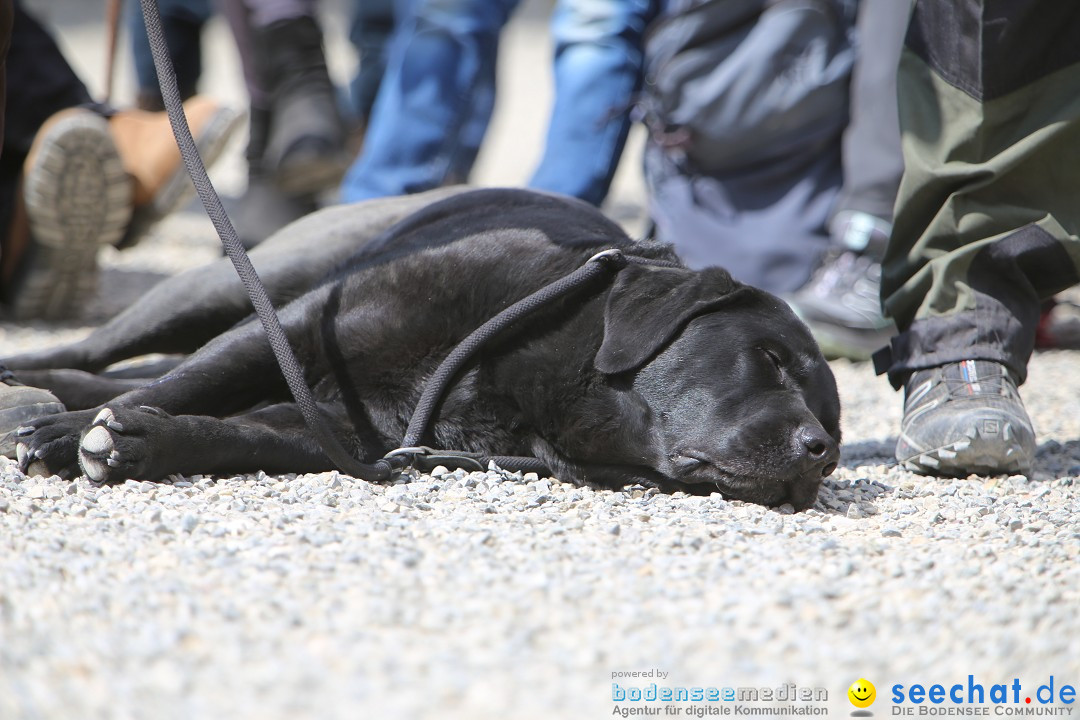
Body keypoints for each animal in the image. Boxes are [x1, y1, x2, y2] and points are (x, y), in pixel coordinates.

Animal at [4, 188, 838, 509]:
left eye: (831, 416)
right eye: (770, 359)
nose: (822, 453)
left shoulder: (344, 429)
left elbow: (231, 433)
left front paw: (139, 443)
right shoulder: (292, 331)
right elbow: (184, 388)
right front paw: (71, 434)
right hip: (229, 286)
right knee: (111, 353)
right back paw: (29, 382)